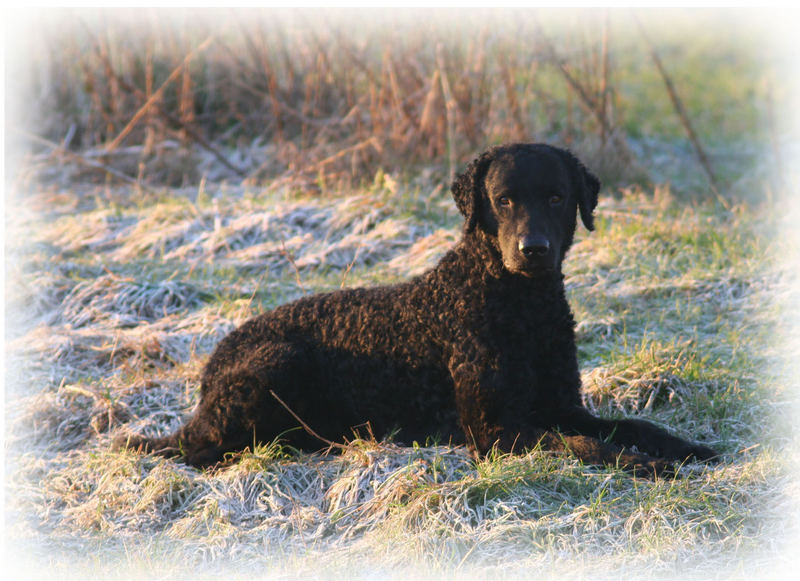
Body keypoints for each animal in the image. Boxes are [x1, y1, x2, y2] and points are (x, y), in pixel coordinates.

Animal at [114, 143, 720, 474]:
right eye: (502, 200)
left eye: (557, 198)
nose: (534, 250)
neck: (520, 308)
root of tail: (208, 374)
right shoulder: (492, 430)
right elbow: (582, 446)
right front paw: (644, 467)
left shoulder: (562, 404)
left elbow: (633, 425)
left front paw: (689, 449)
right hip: (275, 361)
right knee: (207, 449)